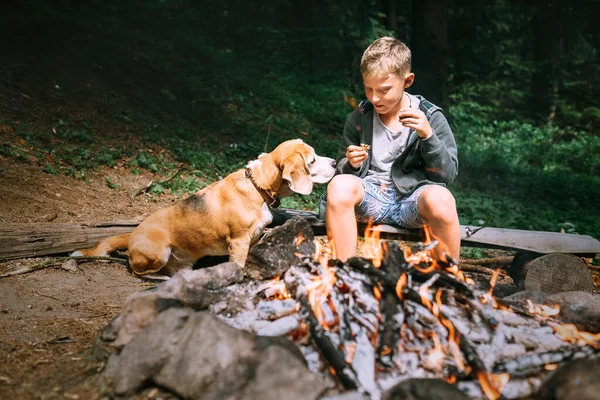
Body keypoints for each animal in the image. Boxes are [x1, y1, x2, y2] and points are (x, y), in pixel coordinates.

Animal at [72, 139, 336, 276]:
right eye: (312, 160)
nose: (335, 162)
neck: (257, 186)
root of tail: (132, 234)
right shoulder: (238, 241)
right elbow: (238, 266)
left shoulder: (252, 239)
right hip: (159, 253)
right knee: (140, 272)